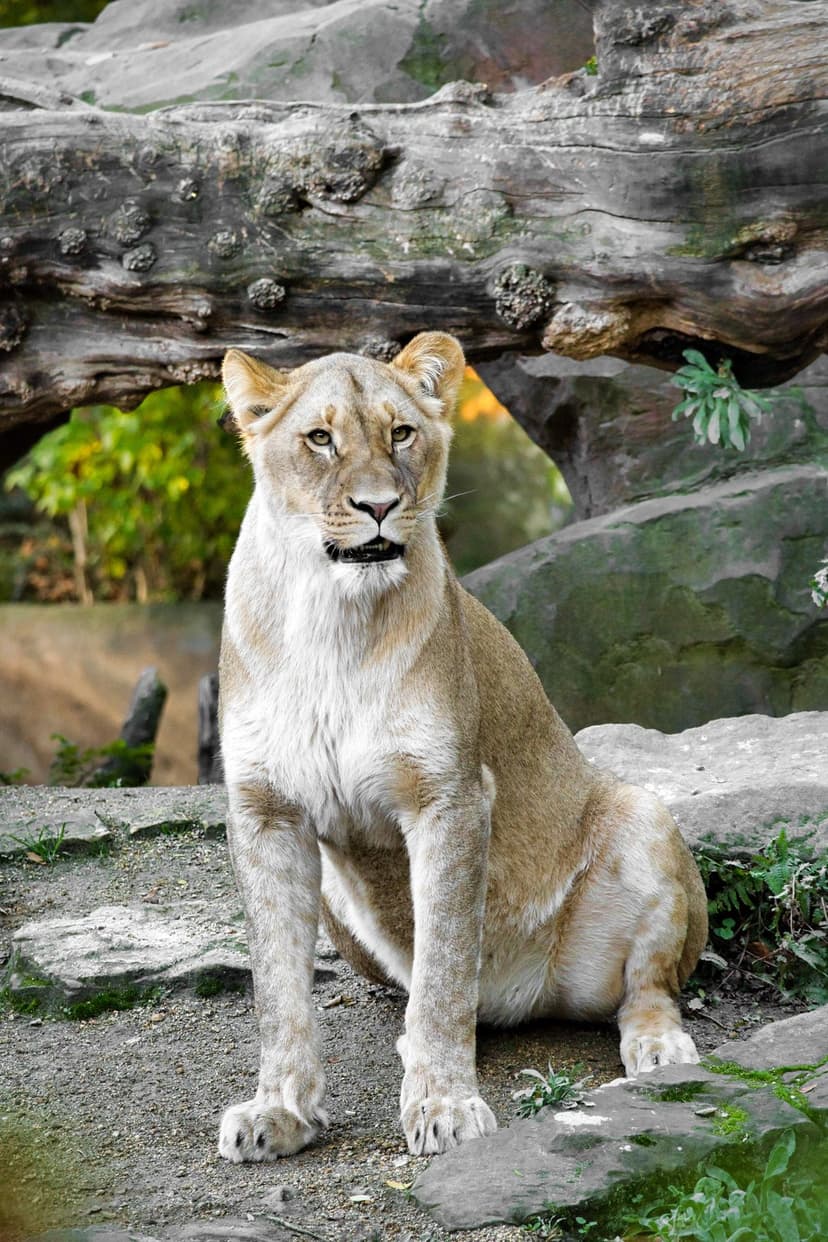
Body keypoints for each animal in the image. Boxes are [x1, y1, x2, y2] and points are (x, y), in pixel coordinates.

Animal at [216, 331, 707, 1162]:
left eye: (401, 433)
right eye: (319, 439)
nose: (379, 505)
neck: (328, 617)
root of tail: (516, 997)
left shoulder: (449, 795)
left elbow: (445, 966)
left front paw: (443, 1104)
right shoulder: (265, 810)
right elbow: (277, 988)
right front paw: (277, 1112)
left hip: (646, 817)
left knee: (646, 988)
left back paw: (658, 1049)